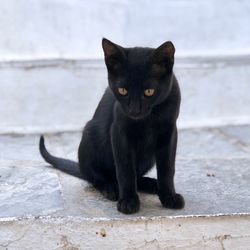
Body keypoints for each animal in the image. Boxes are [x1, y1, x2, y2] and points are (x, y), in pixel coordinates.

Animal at [39, 38, 184, 214]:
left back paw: (150, 184)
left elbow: (167, 168)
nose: (134, 110)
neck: (148, 119)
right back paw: (111, 188)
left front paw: (169, 196)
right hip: (89, 136)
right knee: (96, 178)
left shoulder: (169, 132)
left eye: (149, 91)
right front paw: (128, 201)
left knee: (136, 175)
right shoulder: (119, 132)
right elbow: (125, 169)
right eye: (122, 90)